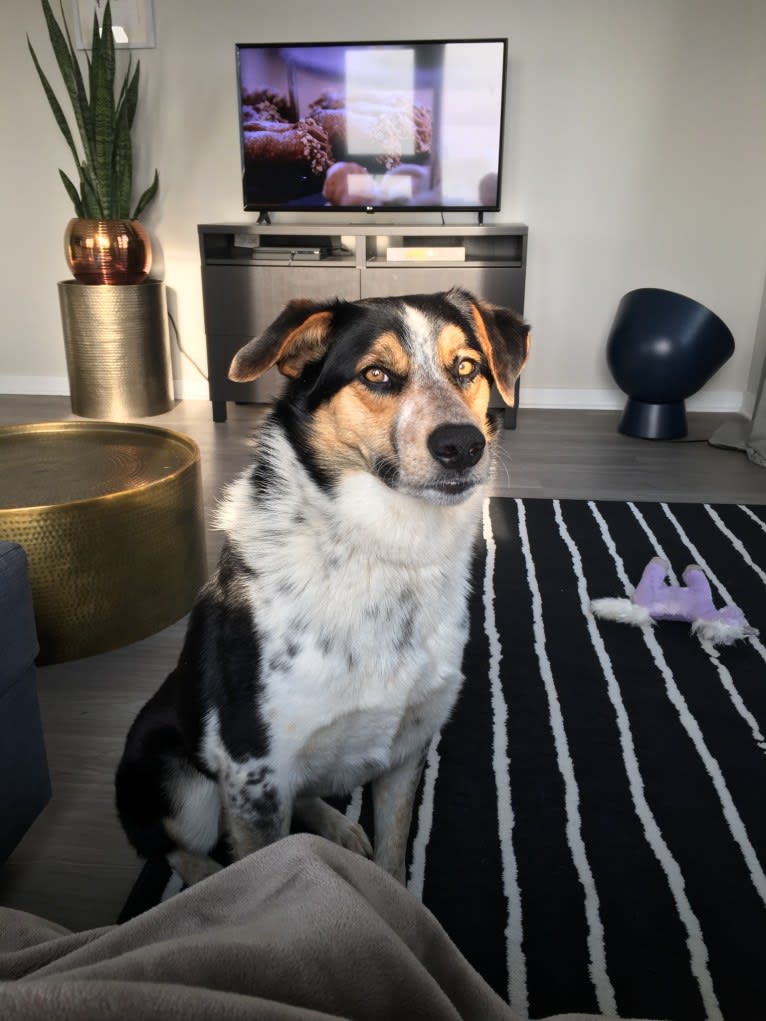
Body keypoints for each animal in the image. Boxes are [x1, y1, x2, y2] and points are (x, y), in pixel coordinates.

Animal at [115, 287, 527, 886]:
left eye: (467, 367)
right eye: (376, 374)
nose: (463, 445)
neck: (381, 551)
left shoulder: (407, 749)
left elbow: (393, 854)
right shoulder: (252, 771)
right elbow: (260, 869)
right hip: (180, 780)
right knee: (170, 845)